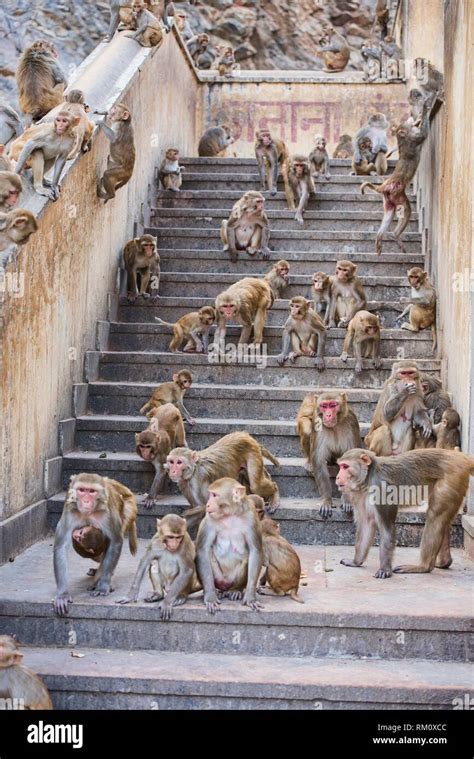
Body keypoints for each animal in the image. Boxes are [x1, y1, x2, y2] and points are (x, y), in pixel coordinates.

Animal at [54, 476, 139, 616]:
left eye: (92, 492)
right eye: (82, 490)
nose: (86, 501)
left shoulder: (107, 516)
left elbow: (115, 541)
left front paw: (103, 585)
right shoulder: (71, 511)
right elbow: (61, 546)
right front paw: (62, 595)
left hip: (129, 508)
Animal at [195, 478, 262, 616]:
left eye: (214, 495)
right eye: (210, 494)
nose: (207, 505)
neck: (231, 513)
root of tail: (225, 585)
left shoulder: (251, 516)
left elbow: (255, 551)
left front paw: (250, 597)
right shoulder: (209, 518)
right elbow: (202, 550)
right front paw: (210, 597)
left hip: (232, 580)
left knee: (247, 559)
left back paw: (236, 590)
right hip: (219, 578)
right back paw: (214, 591)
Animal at [336, 448, 474, 580]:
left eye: (345, 466)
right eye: (341, 466)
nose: (337, 477)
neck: (368, 477)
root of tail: (460, 457)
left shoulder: (382, 490)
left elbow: (387, 530)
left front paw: (385, 570)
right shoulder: (360, 496)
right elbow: (367, 523)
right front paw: (356, 562)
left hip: (451, 478)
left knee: (435, 515)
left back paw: (423, 567)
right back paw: (444, 562)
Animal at [362, 106, 432, 255]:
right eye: (405, 123)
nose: (410, 118)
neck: (402, 137)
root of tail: (384, 185)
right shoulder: (413, 138)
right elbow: (423, 134)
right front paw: (424, 111)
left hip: (388, 199)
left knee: (388, 214)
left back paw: (379, 239)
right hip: (396, 193)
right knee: (407, 210)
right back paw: (395, 235)